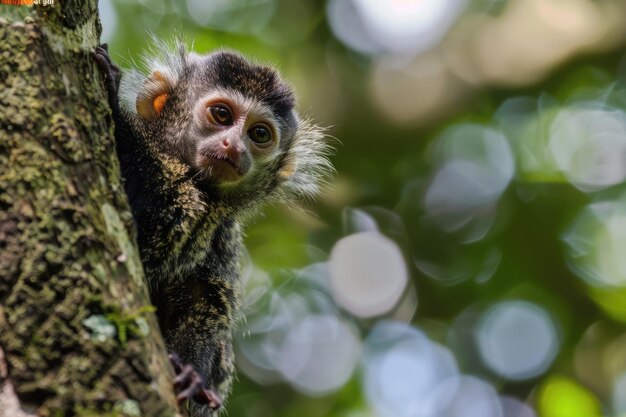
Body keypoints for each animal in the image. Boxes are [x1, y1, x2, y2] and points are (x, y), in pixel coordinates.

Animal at [95, 40, 330, 414]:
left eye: (259, 134)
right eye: (221, 115)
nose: (233, 145)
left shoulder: (223, 230)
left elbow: (202, 293)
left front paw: (193, 375)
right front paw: (113, 97)